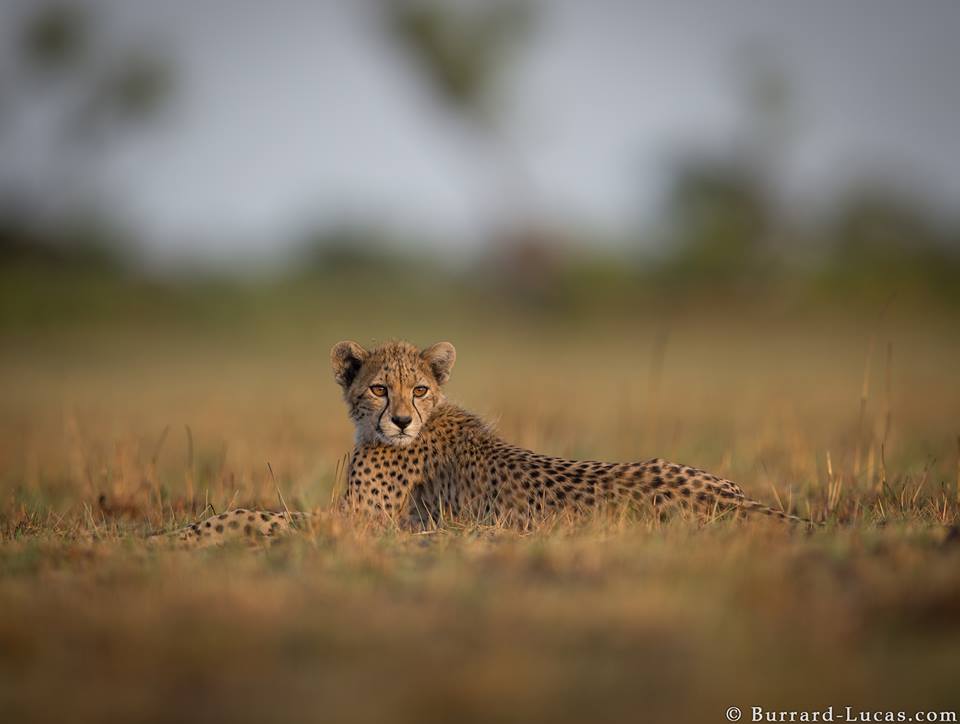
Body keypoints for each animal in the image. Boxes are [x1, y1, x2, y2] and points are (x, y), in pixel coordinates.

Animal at [159, 339, 811, 547]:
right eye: (379, 388)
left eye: (420, 388)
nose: (400, 421)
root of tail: (742, 501)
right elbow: (266, 513)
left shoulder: (360, 525)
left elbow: (261, 515)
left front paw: (186, 533)